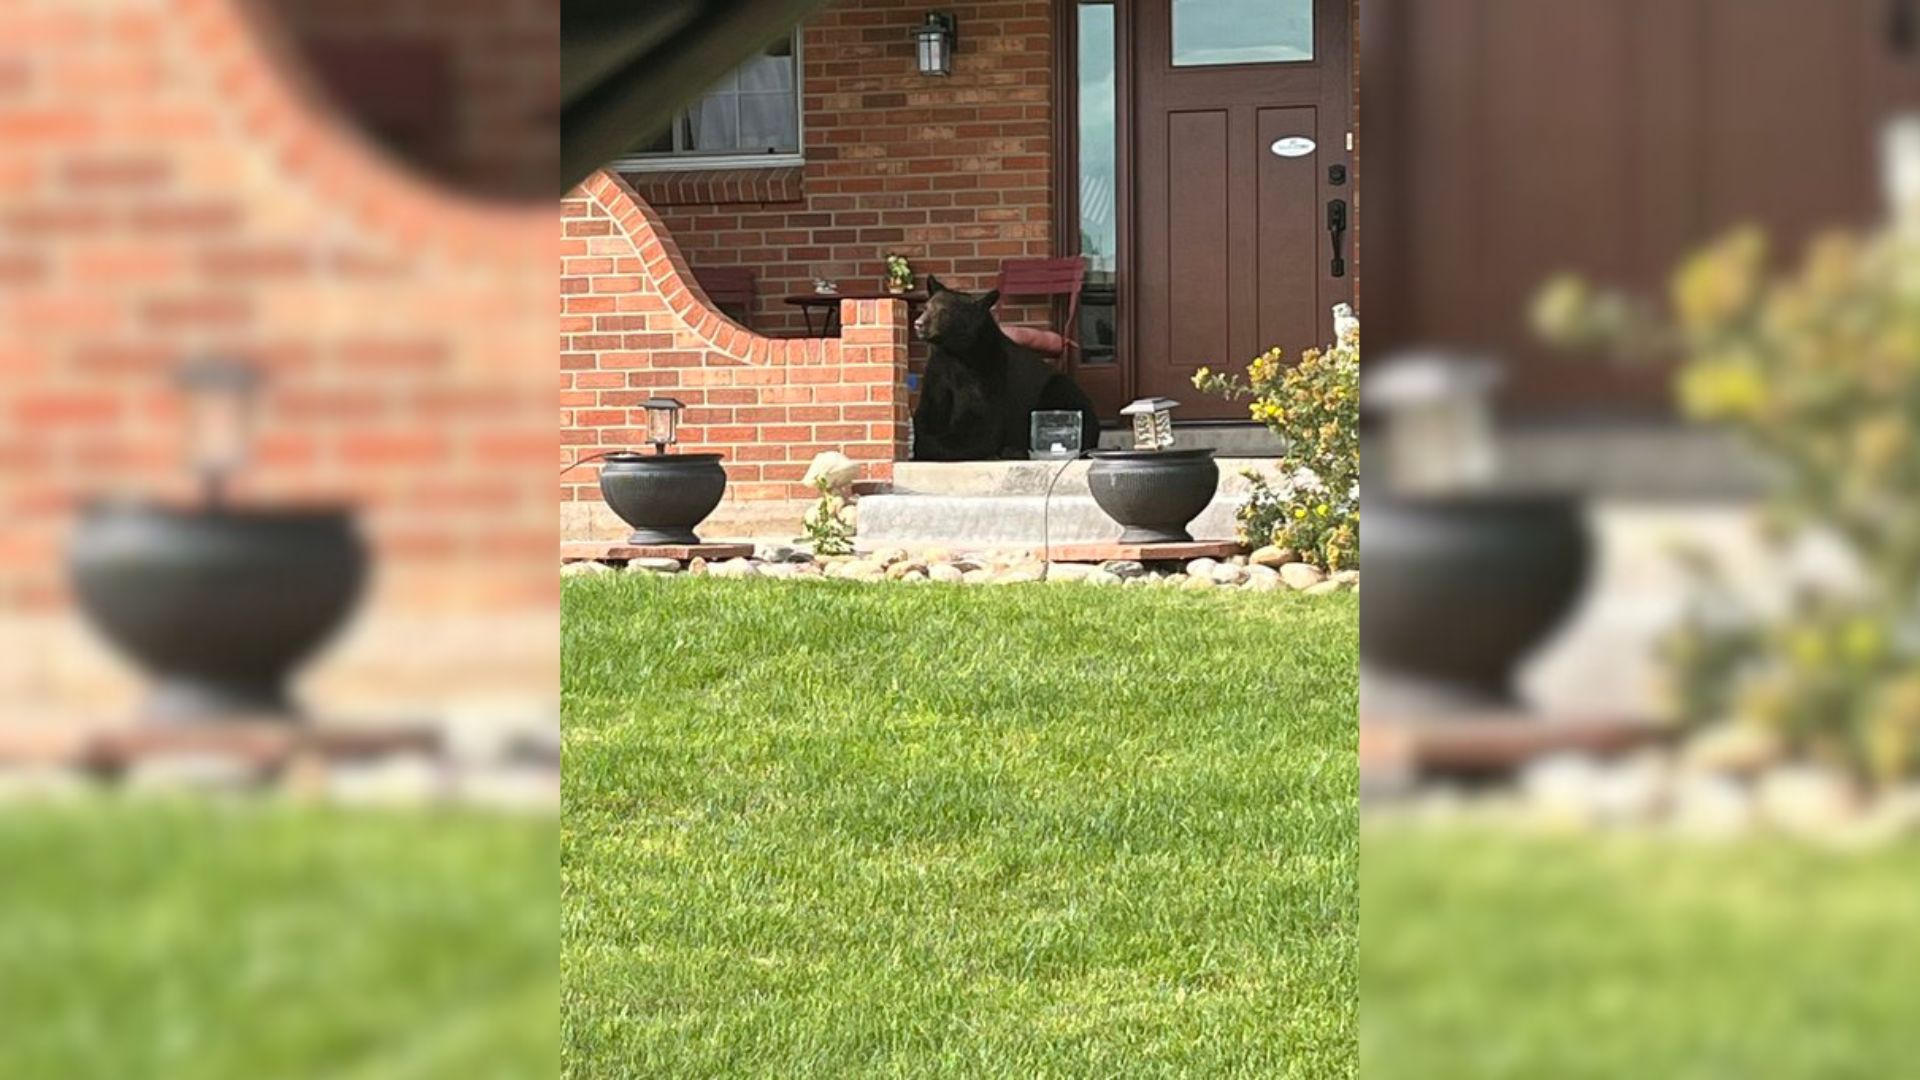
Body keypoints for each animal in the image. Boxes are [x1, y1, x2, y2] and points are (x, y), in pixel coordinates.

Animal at [910, 272, 1105, 457]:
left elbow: (980, 426)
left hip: (1061, 390)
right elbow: (928, 412)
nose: (918, 324)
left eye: (944, 311)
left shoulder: (987, 372)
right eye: (926, 307)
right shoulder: (938, 372)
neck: (956, 351)